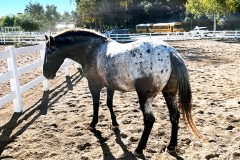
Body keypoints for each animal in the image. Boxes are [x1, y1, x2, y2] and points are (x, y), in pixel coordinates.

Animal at [43, 28, 204, 155]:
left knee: (149, 119)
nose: (46, 74)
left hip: (145, 96)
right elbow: (109, 103)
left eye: (48, 54)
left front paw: (93, 123)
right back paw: (171, 146)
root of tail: (171, 53)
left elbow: (96, 105)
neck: (92, 49)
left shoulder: (94, 86)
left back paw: (139, 148)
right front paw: (114, 123)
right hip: (169, 93)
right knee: (174, 116)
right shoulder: (110, 86)